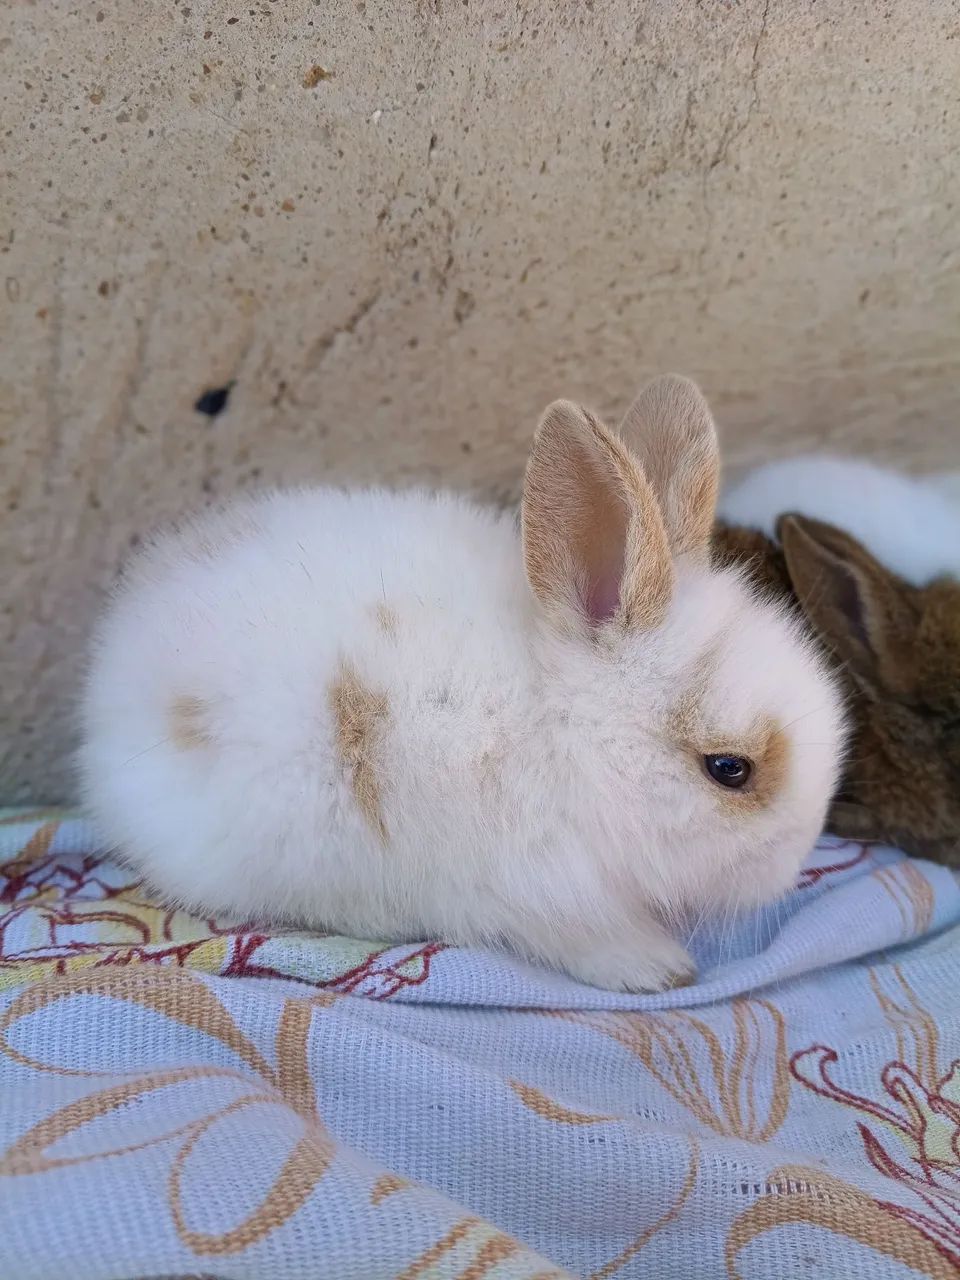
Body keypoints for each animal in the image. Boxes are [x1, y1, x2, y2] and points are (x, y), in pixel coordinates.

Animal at [79, 375, 845, 993]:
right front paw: (657, 969)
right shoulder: (526, 886)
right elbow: (579, 937)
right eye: (730, 770)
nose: (796, 863)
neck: (564, 733)